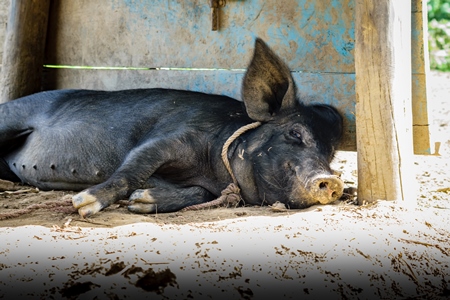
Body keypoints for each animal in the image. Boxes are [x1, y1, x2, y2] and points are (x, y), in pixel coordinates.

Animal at [0, 38, 342, 216]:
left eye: (330, 154)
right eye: (295, 133)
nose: (333, 181)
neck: (212, 169)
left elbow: (197, 193)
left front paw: (141, 201)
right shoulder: (171, 136)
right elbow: (133, 167)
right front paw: (84, 204)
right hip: (12, 116)